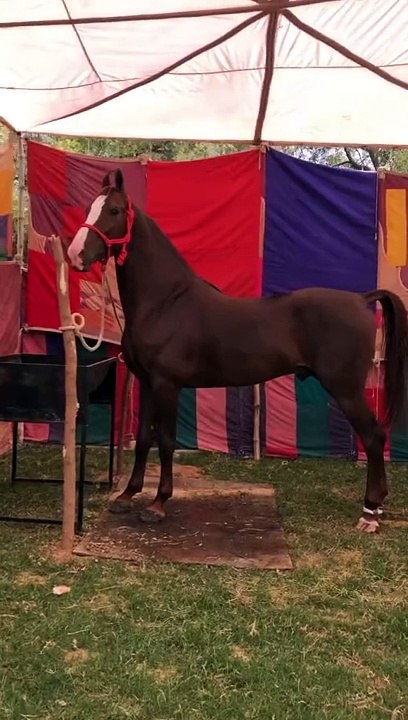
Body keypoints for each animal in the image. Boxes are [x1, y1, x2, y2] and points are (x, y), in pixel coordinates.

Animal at [67, 169, 408, 533]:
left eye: (114, 210)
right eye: (88, 207)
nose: (75, 254)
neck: (165, 301)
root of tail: (361, 299)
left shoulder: (167, 385)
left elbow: (167, 441)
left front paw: (158, 504)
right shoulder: (146, 384)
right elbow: (145, 438)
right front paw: (127, 496)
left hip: (346, 389)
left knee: (373, 437)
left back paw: (369, 512)